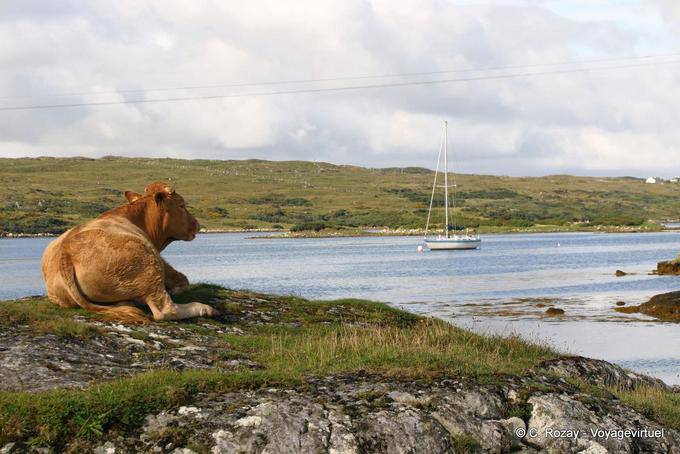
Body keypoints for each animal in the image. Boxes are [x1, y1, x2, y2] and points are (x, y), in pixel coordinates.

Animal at [41, 181, 218, 323]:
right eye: (181, 205)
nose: (197, 224)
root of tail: (66, 254)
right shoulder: (159, 260)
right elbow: (183, 279)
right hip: (147, 265)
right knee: (165, 309)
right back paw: (206, 308)